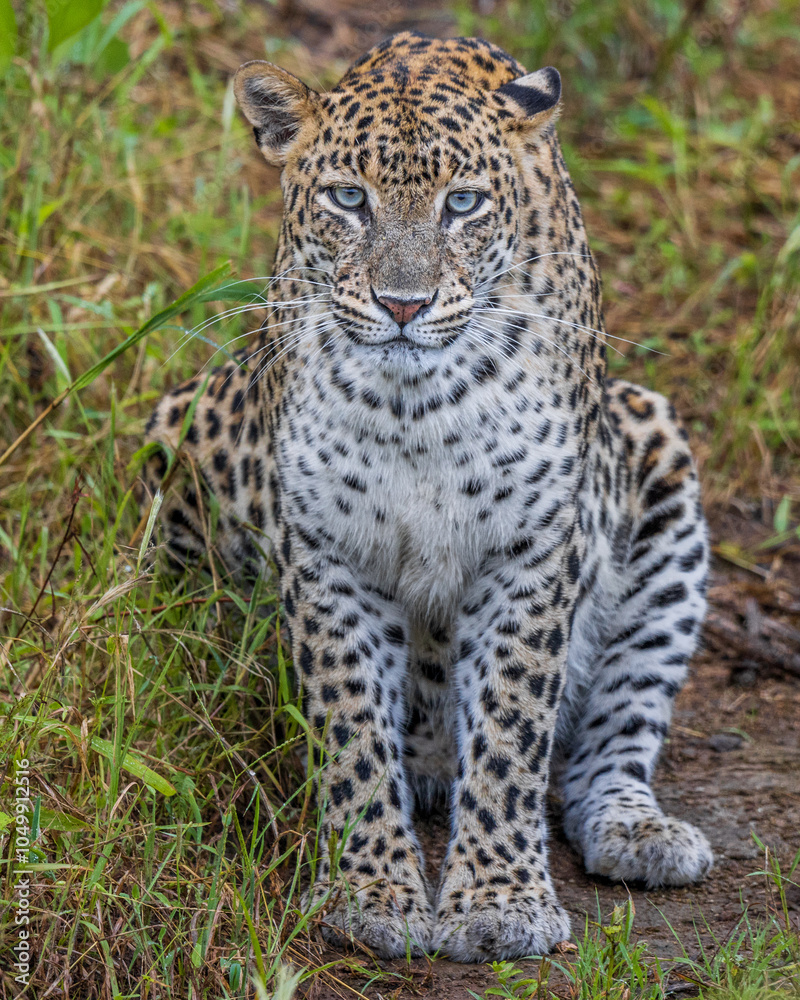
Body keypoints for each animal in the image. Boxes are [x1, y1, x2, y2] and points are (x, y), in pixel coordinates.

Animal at [142, 32, 713, 962]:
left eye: (463, 204)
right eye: (349, 199)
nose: (402, 304)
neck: (415, 406)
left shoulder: (530, 553)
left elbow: (514, 732)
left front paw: (500, 900)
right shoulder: (327, 554)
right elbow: (350, 732)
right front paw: (371, 890)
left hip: (656, 460)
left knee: (616, 731)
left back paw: (637, 831)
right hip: (182, 429)